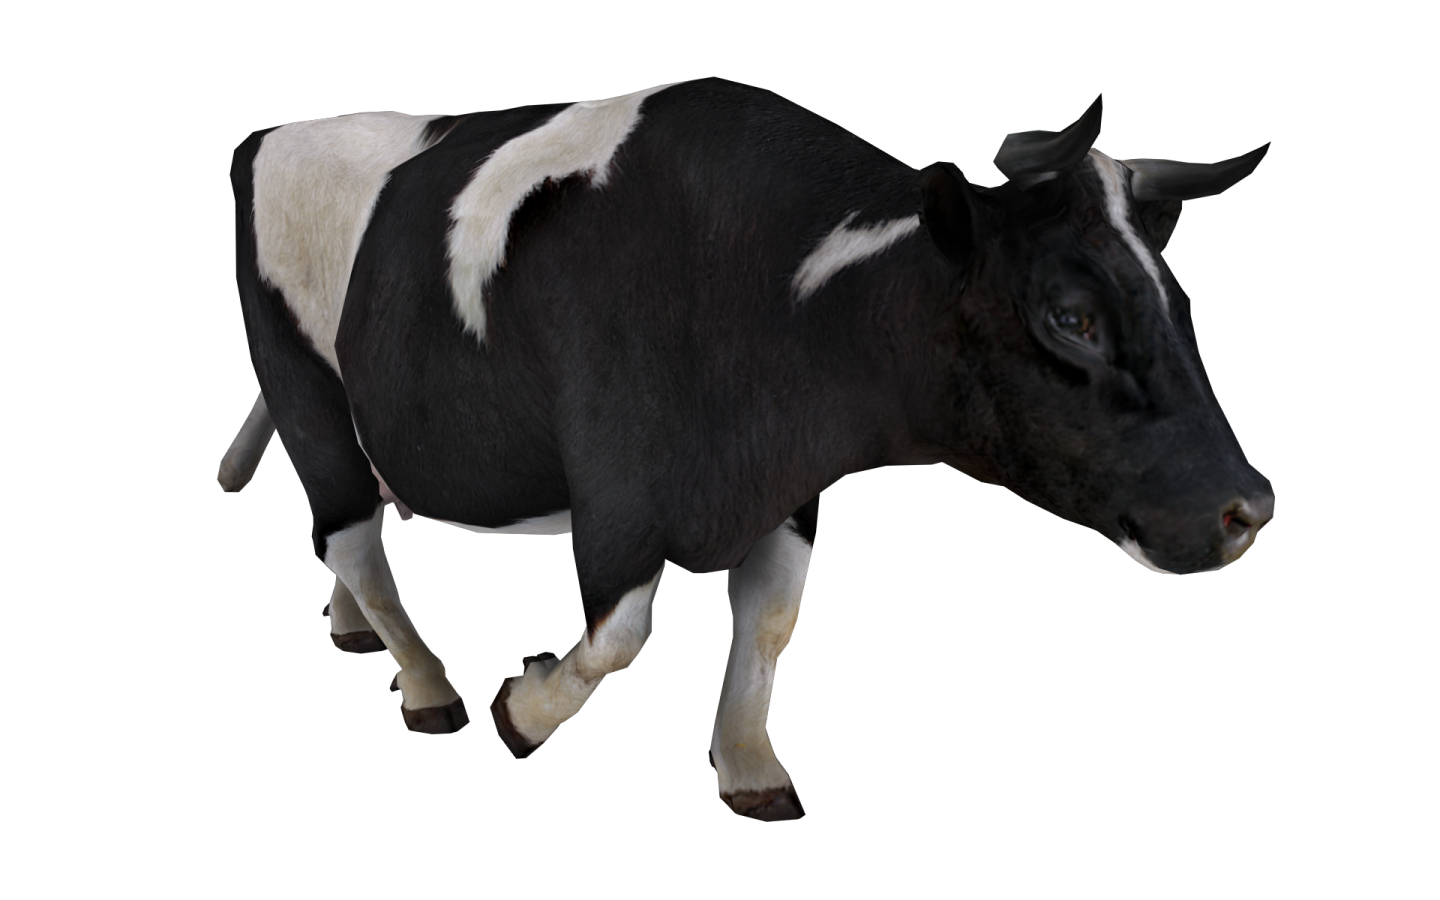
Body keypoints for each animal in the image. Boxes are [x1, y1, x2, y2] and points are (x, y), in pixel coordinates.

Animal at [220, 79, 1274, 821]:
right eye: (1071, 317)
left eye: (1181, 305)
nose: (1249, 509)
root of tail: (280, 131)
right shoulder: (620, 489)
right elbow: (619, 637)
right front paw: (520, 711)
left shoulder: (791, 486)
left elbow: (770, 621)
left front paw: (750, 769)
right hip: (313, 401)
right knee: (352, 536)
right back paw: (425, 682)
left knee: (351, 542)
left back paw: (356, 632)